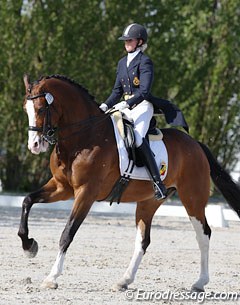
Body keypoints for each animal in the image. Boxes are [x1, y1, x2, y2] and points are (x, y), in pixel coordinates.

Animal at [18, 73, 240, 290]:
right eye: (25, 109)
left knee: (203, 234)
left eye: (40, 108)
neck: (84, 135)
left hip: (192, 198)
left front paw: (51, 277)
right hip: (149, 201)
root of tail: (195, 144)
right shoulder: (61, 187)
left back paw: (200, 282)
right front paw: (29, 246)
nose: (34, 145)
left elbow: (68, 232)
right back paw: (124, 280)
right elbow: (27, 200)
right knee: (143, 240)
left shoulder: (86, 192)